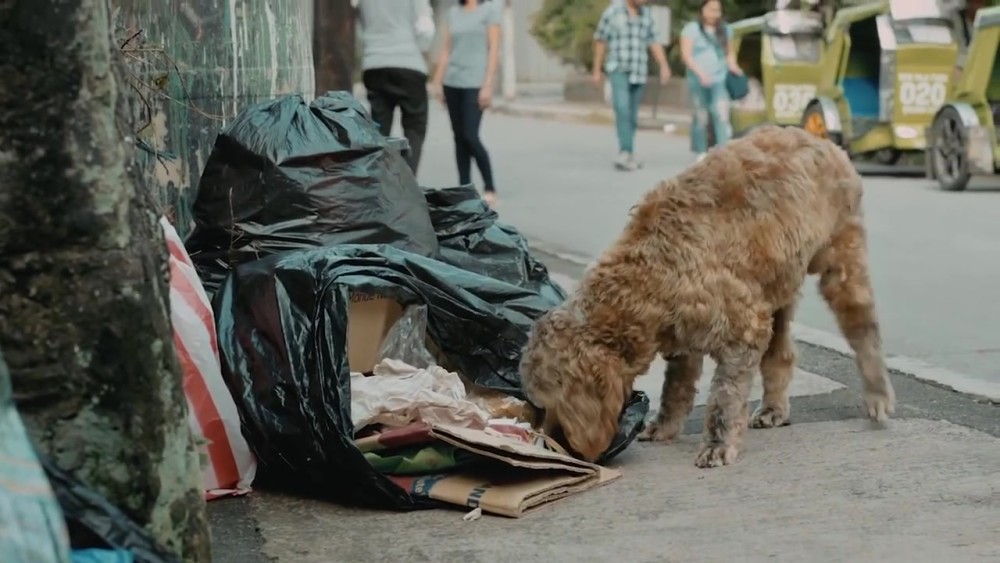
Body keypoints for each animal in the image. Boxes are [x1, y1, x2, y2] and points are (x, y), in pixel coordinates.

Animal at [520, 125, 896, 470]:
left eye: (553, 402)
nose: (553, 446)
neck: (647, 275)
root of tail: (819, 138)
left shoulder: (744, 329)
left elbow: (723, 398)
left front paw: (718, 442)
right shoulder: (684, 338)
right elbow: (675, 388)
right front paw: (665, 425)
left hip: (842, 261)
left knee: (864, 331)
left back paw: (877, 392)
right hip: (778, 285)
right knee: (781, 353)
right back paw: (774, 407)